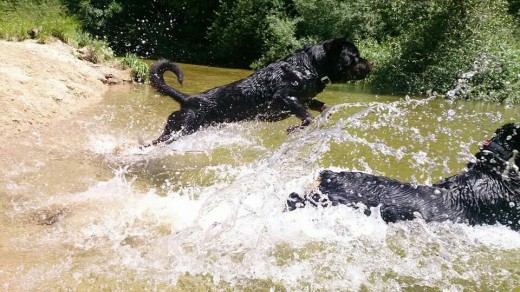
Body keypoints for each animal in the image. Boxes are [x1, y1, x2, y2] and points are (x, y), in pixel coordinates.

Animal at [145, 39, 374, 146]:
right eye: (355, 56)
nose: (371, 63)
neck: (312, 66)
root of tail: (187, 98)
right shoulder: (283, 97)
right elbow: (308, 118)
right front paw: (294, 128)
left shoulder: (306, 98)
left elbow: (323, 106)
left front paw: (326, 113)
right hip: (180, 129)